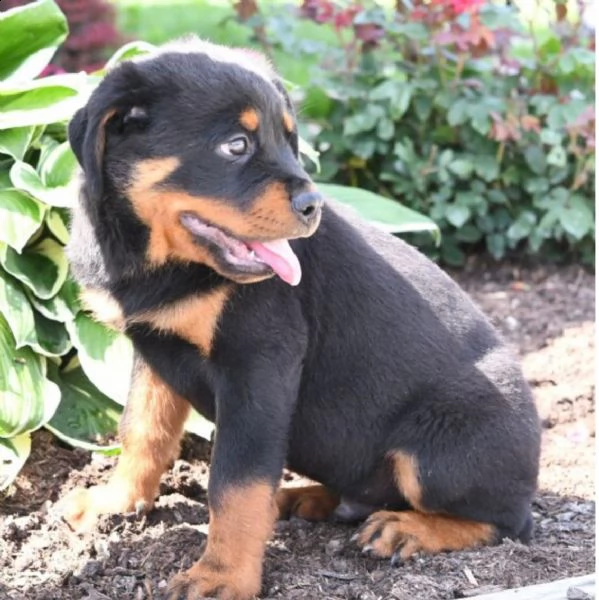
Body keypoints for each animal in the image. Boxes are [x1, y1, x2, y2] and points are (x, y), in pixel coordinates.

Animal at [62, 37, 544, 600]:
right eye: (236, 145)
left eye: (290, 142)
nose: (313, 204)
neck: (161, 264)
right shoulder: (156, 346)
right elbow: (142, 428)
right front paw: (114, 503)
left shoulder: (258, 364)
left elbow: (236, 482)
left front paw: (221, 577)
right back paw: (307, 497)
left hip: (438, 451)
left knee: (507, 521)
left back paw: (407, 528)